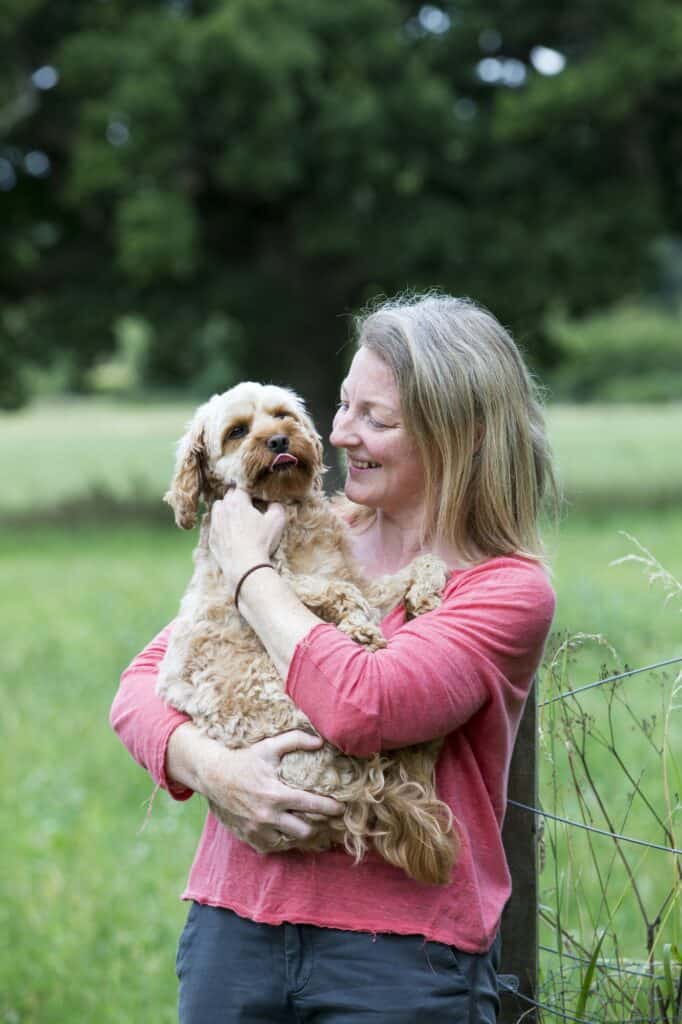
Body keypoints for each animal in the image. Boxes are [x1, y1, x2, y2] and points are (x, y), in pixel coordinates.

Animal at [156, 380, 456, 884]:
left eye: (282, 415)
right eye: (237, 432)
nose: (278, 439)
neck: (288, 509)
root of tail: (353, 796)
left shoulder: (361, 578)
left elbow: (416, 565)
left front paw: (426, 593)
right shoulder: (277, 578)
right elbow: (335, 591)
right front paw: (362, 631)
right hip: (287, 700)